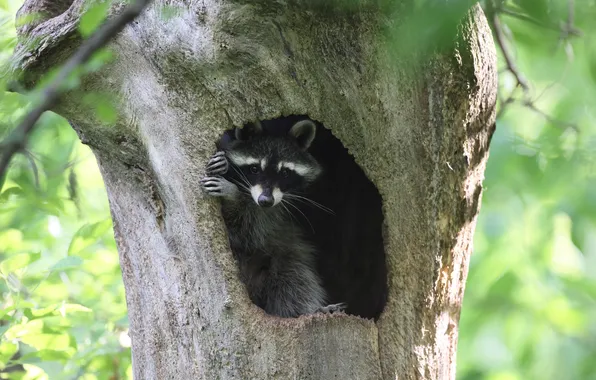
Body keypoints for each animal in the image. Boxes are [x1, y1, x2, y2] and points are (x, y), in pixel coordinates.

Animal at [199, 121, 342, 318]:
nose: (265, 200)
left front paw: (232, 194)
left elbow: (249, 232)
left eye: (285, 173)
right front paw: (227, 176)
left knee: (293, 279)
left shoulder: (275, 213)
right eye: (254, 169)